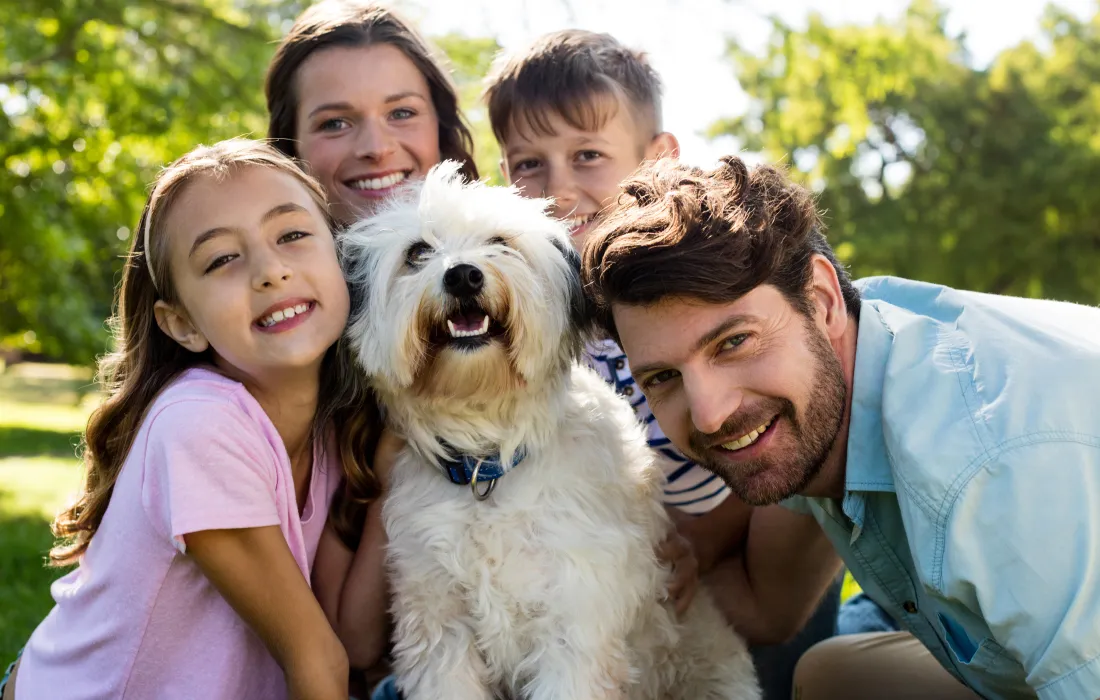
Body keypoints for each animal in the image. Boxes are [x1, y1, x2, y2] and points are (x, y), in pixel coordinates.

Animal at [347, 162, 761, 700]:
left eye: (499, 242)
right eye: (418, 252)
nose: (462, 274)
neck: (490, 461)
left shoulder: (576, 625)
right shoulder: (439, 628)